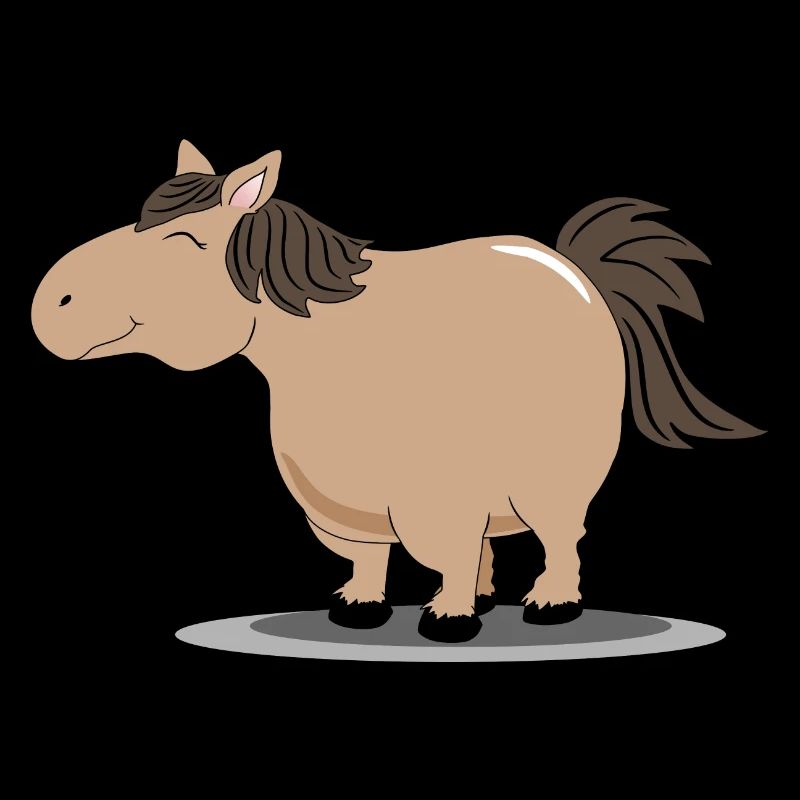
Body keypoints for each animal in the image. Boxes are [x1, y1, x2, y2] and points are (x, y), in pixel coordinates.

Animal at [31, 140, 763, 643]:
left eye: (186, 239)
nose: (51, 304)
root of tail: (575, 270)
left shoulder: (435, 491)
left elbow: (447, 548)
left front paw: (449, 619)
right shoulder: (335, 492)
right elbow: (366, 553)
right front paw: (361, 607)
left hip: (553, 472)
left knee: (560, 534)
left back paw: (550, 604)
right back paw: (488, 596)